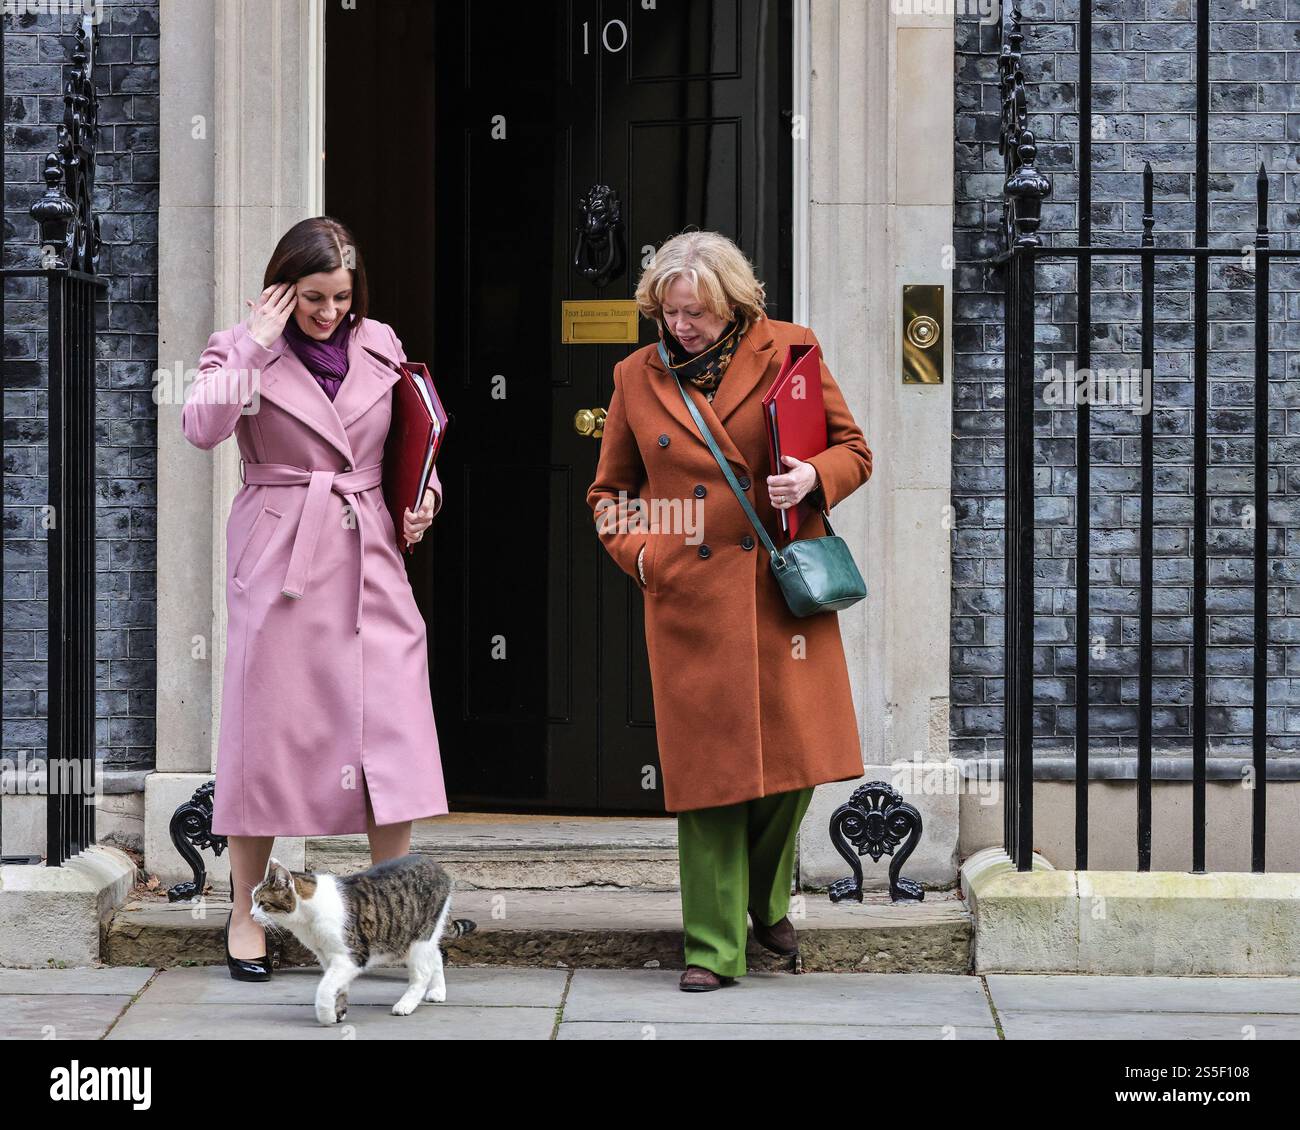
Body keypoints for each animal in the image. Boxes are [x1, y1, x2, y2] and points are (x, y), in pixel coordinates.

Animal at [250, 853, 475, 1024]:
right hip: (424, 934)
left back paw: (405, 1004)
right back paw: (438, 992)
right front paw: (338, 1012)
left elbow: (325, 987)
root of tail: (437, 867)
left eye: (262, 903)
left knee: (423, 971)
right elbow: (337, 987)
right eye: (253, 900)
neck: (307, 919)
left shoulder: (351, 956)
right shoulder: (327, 956)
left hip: (419, 937)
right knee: (435, 955)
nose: (251, 914)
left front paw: (325, 1015)